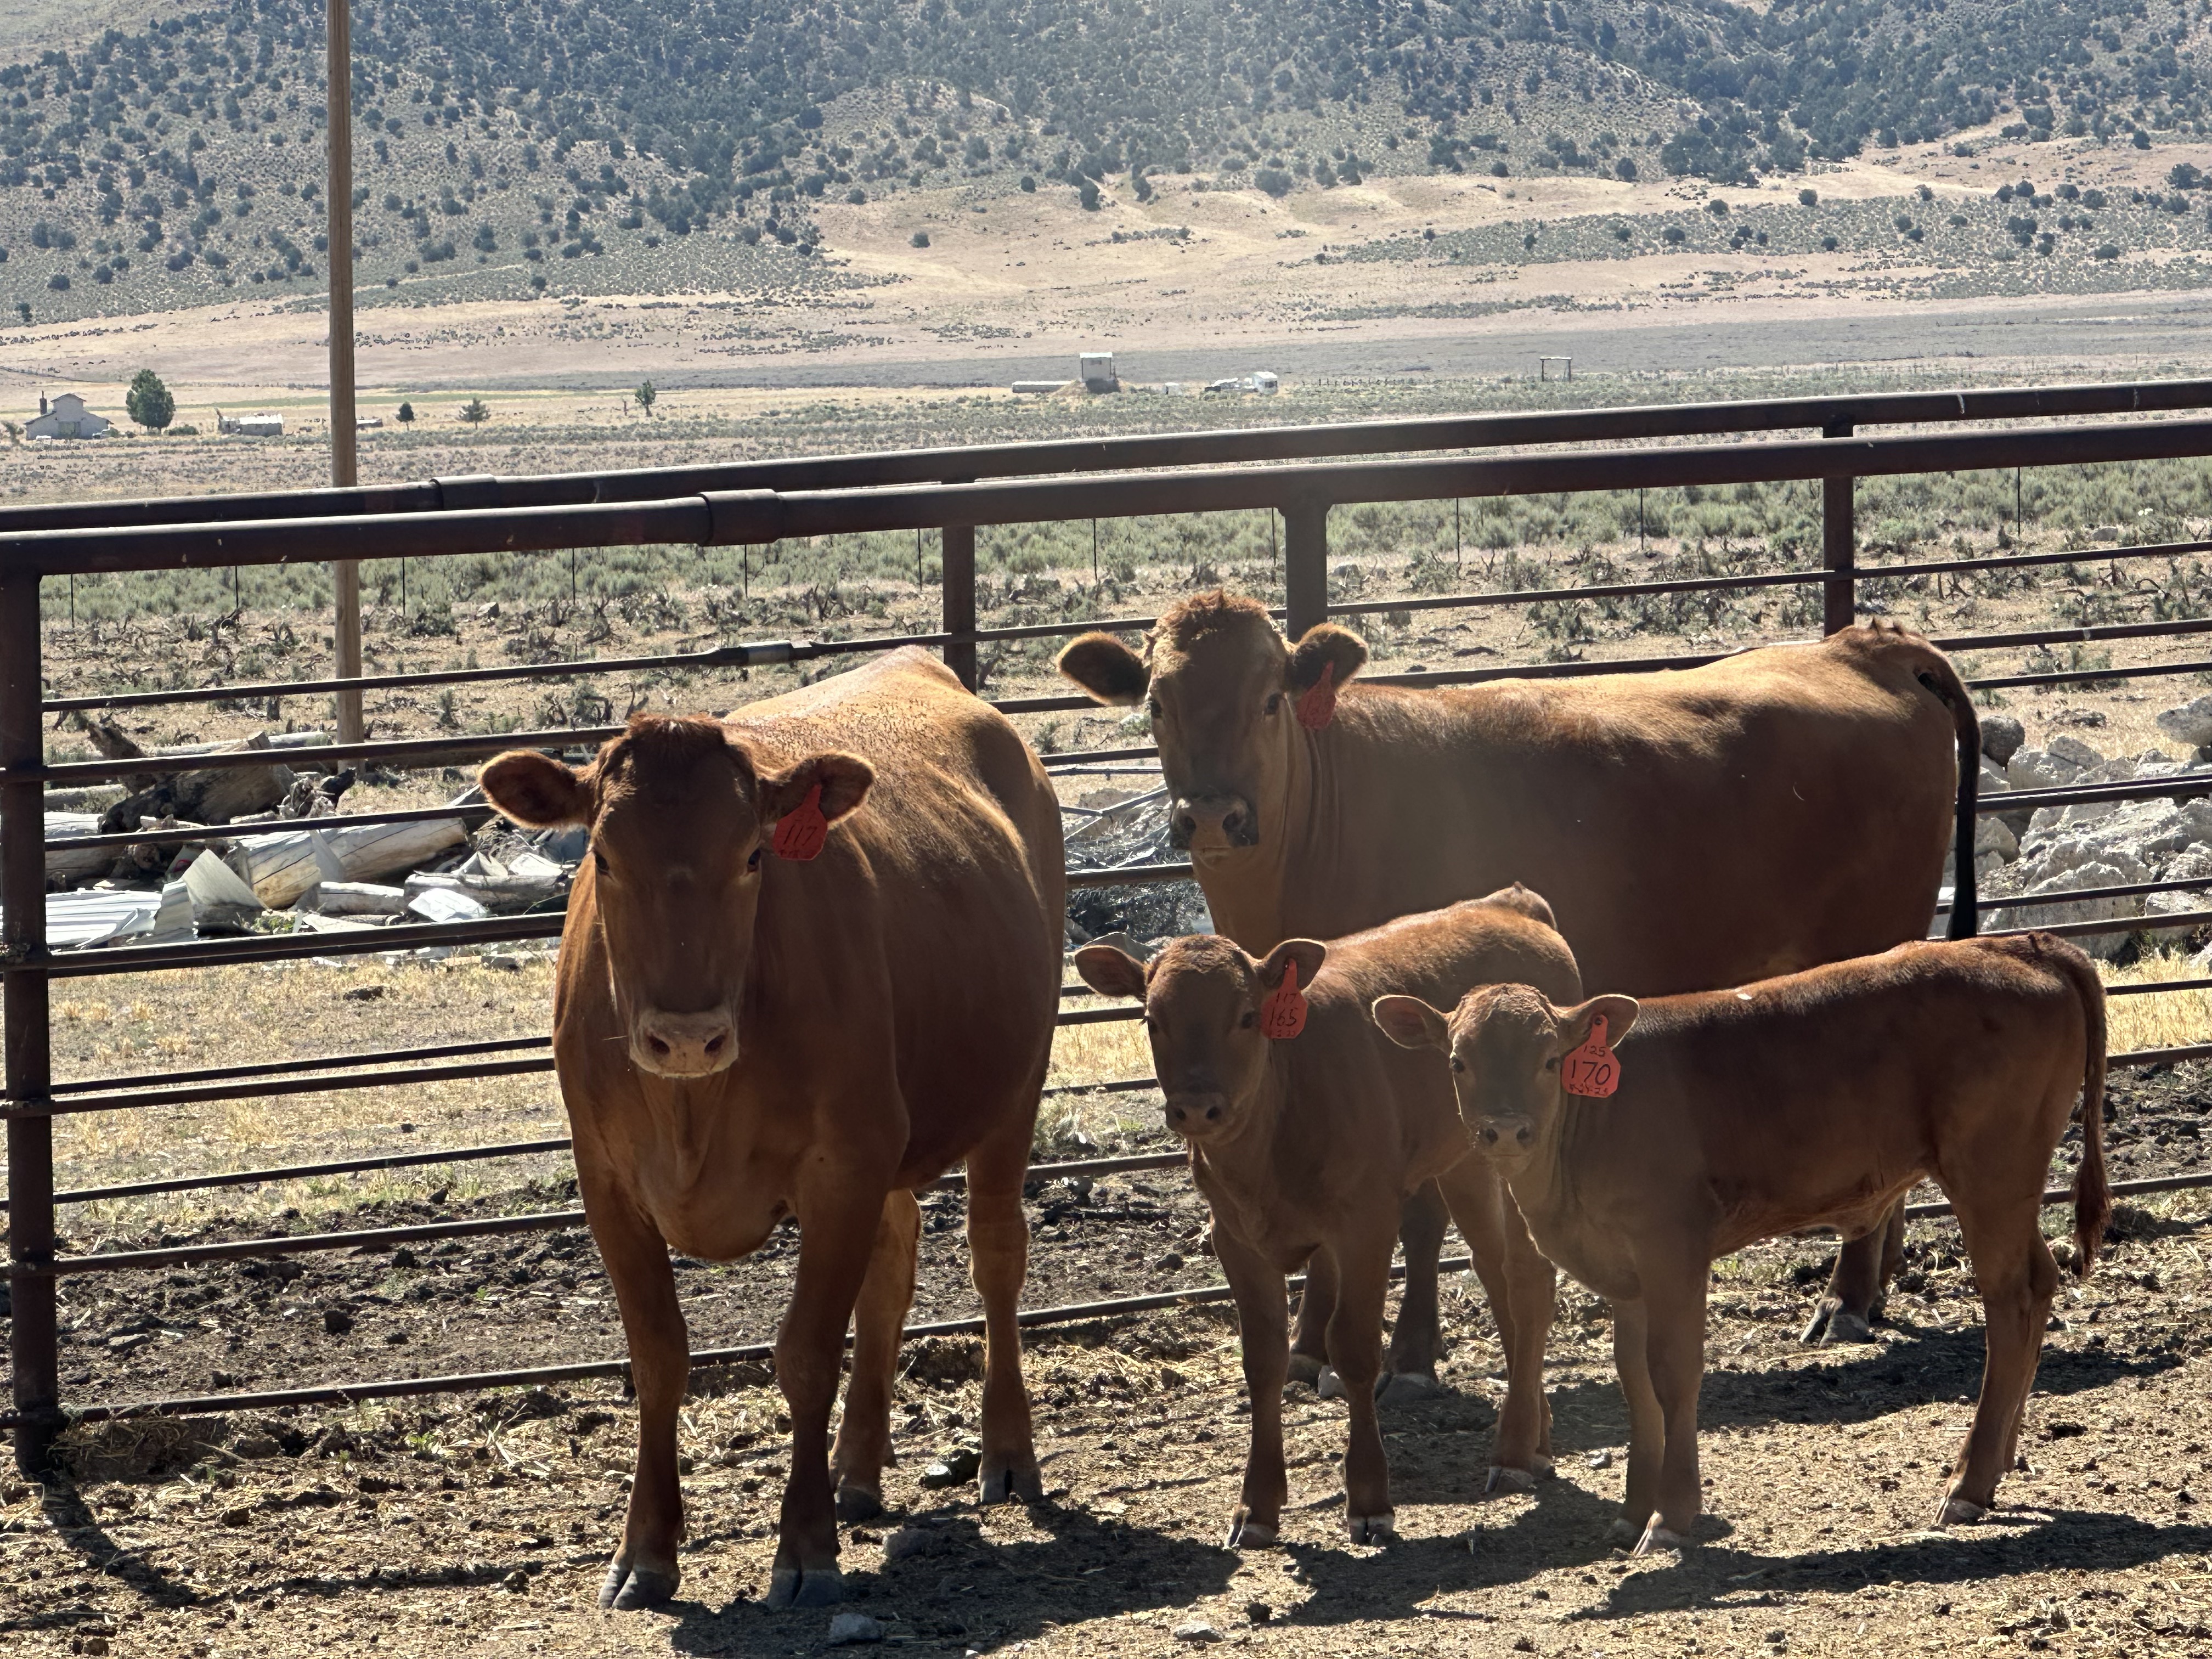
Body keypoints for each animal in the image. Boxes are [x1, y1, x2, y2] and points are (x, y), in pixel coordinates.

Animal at [477, 650, 1064, 1612]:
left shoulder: (842, 1168)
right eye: (602, 854)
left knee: (996, 1257)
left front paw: (805, 1547)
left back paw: (1007, 1453)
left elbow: (806, 1355)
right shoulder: (607, 1182)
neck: (693, 1108)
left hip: (1015, 1089)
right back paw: (857, 1470)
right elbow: (661, 1356)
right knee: (893, 1265)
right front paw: (644, 1551)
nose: (685, 1036)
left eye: (753, 854)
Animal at [1058, 593, 1980, 1364]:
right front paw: (1320, 1341)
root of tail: (1869, 646)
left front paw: (1409, 1347)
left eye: (1270, 699)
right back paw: (1876, 1279)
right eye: (1157, 703)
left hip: (1875, 947)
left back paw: (1848, 1297)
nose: (1214, 814)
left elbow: (1421, 1214)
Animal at [1073, 889, 1582, 1545]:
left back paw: (1519, 1448)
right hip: (1466, 1160)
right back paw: (1535, 1434)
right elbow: (1263, 1361)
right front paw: (1257, 1505)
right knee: (1496, 1275)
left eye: (1248, 1016)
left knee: (1528, 1283)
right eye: (1151, 1020)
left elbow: (1356, 1350)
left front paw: (1368, 1498)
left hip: (1523, 1156)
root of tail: (1510, 903)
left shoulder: (1364, 1224)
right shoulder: (1235, 1238)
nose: (1197, 1108)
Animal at [1373, 932, 2109, 1552]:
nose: (1503, 1130)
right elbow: (1634, 1378)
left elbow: (1673, 1372)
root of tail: (2017, 943)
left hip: (1991, 1174)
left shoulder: (1673, 1248)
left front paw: (1671, 1516)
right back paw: (2001, 1459)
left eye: (1552, 1060)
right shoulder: (1625, 1270)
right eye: (1457, 1061)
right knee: (2039, 1286)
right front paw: (1634, 1509)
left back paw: (1969, 1484)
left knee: (2012, 1300)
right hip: (2006, 1186)